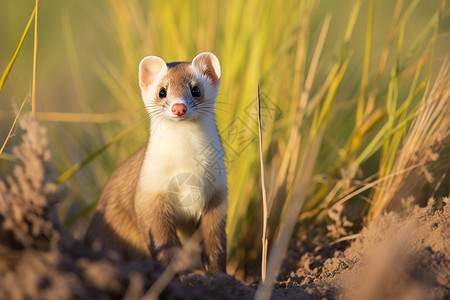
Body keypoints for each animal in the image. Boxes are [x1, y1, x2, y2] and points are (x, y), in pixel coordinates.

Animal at [83, 52, 227, 274]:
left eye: (196, 90)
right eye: (162, 91)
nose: (179, 107)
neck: (187, 166)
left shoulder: (217, 193)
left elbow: (215, 241)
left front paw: (217, 274)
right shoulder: (149, 192)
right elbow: (163, 241)